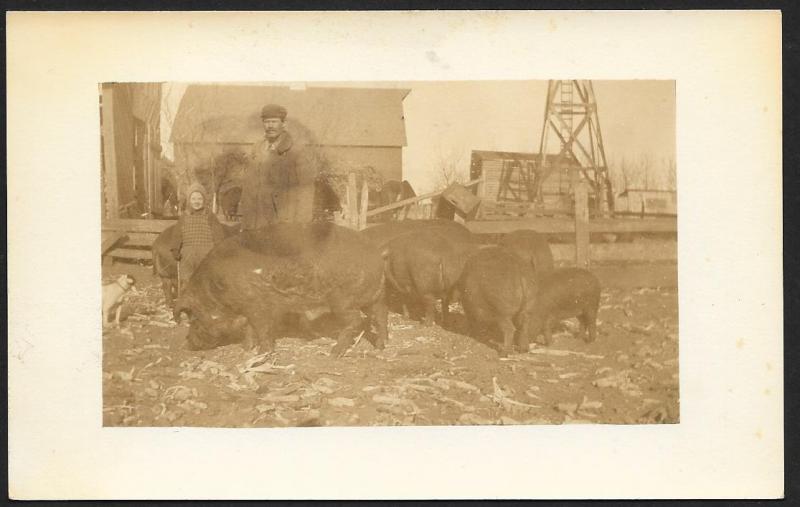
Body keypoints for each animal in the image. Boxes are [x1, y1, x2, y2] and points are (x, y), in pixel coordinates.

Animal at [175, 222, 388, 358]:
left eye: (193, 318)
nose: (186, 343)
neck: (215, 287)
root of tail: (376, 252)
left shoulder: (256, 306)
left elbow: (261, 328)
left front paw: (262, 354)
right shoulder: (249, 308)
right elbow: (250, 329)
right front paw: (247, 349)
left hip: (342, 300)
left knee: (356, 320)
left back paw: (335, 353)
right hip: (372, 296)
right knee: (381, 316)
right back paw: (381, 346)